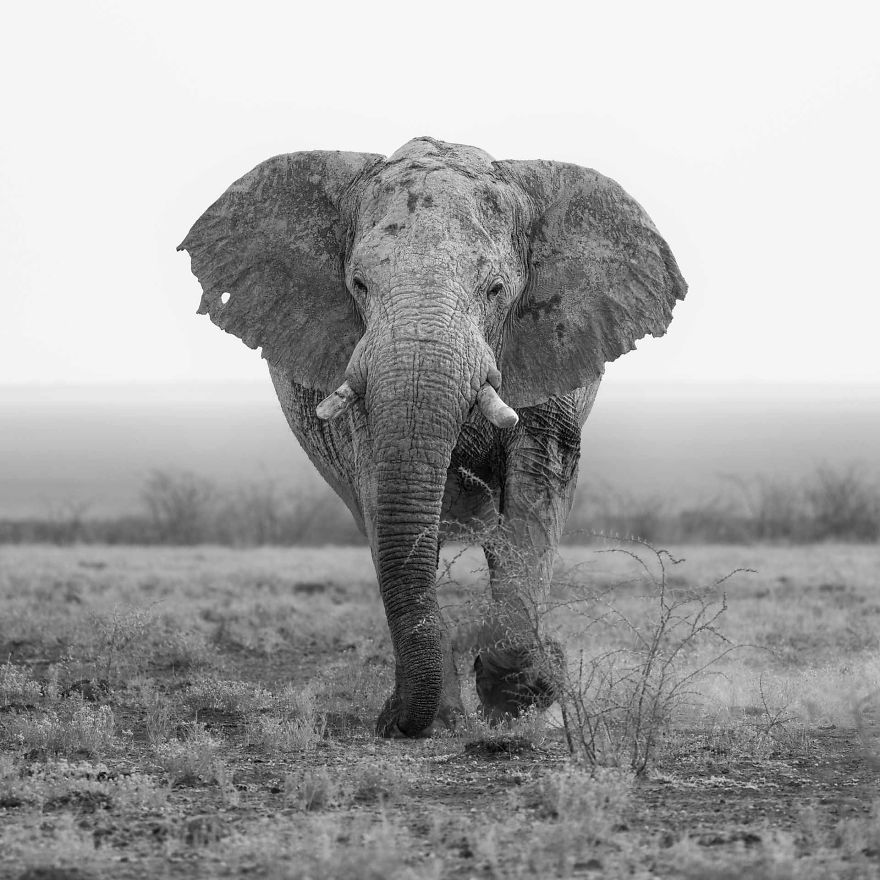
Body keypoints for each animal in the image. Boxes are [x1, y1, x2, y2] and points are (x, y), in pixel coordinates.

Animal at [178, 136, 687, 738]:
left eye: (495, 289)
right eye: (359, 284)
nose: (391, 721)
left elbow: (539, 488)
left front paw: (524, 693)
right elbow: (381, 491)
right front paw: (447, 714)